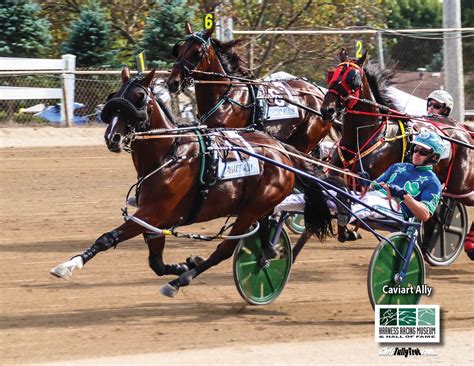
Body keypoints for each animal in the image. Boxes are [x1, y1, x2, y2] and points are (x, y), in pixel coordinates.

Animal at [49, 67, 330, 298]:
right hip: (259, 208)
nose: (113, 137)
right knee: (265, 243)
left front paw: (69, 265)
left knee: (226, 249)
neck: (169, 153)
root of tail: (282, 151)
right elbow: (156, 263)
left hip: (253, 209)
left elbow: (107, 238)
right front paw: (185, 263)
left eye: (139, 98)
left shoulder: (151, 214)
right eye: (116, 96)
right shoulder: (156, 222)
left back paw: (180, 282)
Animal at [167, 22, 334, 154]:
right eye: (179, 50)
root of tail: (320, 94)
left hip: (305, 142)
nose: (173, 82)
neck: (226, 97)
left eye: (196, 52)